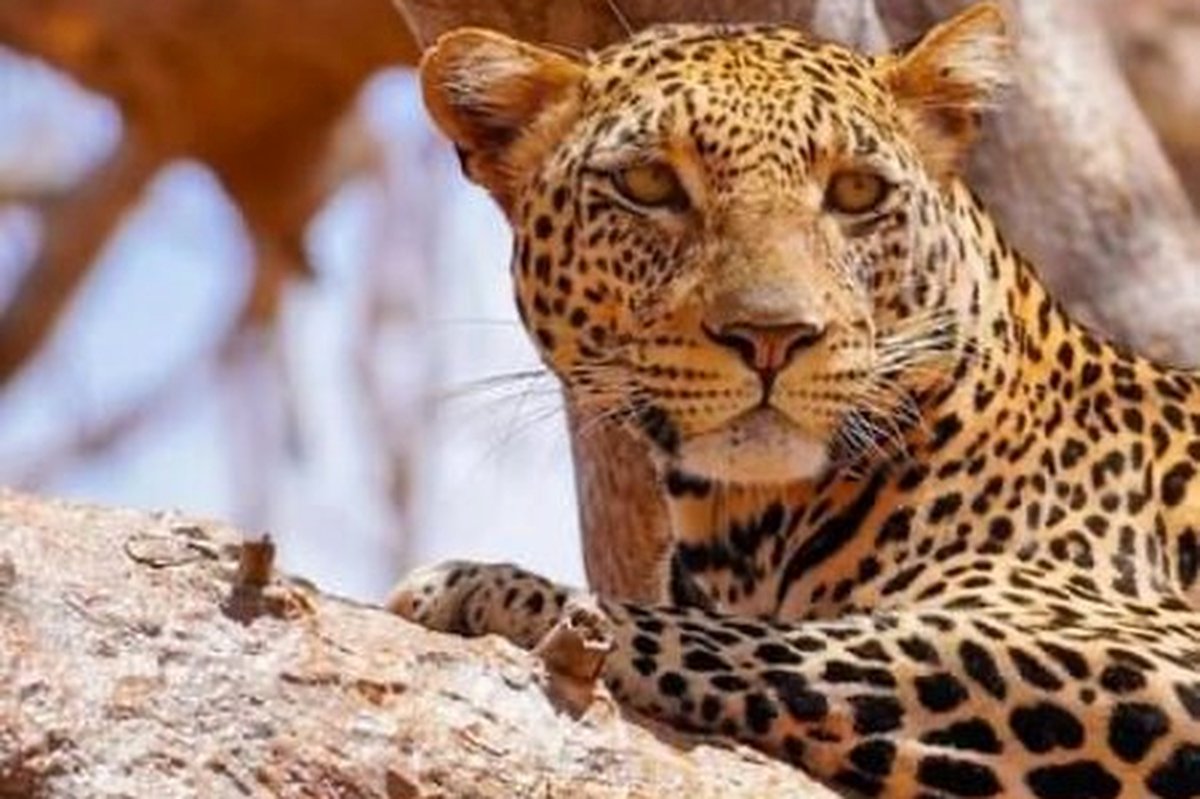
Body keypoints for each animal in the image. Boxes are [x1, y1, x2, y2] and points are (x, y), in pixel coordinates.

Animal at [389, 4, 1200, 796]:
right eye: (649, 184)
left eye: (857, 192)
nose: (771, 336)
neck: (746, 528)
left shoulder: (1149, 647)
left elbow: (807, 647)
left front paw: (493, 591)